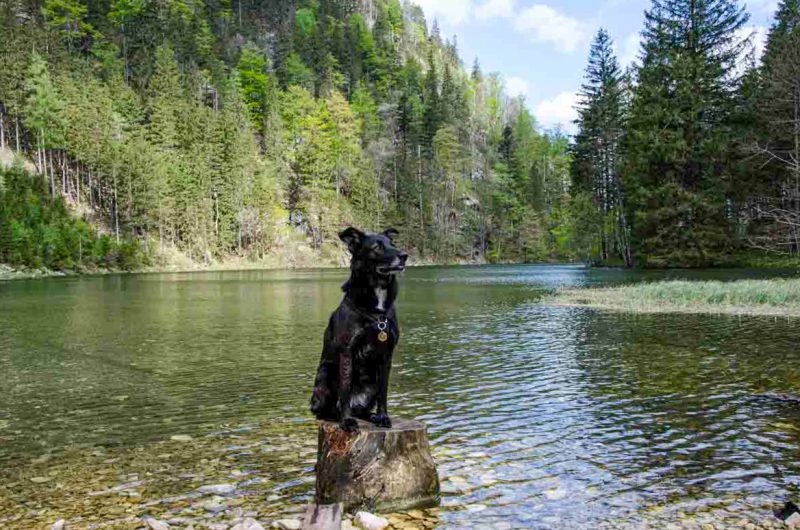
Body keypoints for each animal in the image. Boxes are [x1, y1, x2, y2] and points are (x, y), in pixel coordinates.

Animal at [306, 226, 406, 428]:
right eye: (377, 247)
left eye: (393, 243)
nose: (404, 256)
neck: (376, 313)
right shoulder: (347, 351)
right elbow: (345, 389)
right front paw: (346, 421)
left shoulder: (386, 356)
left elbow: (384, 392)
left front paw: (383, 416)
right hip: (325, 374)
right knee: (324, 411)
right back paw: (337, 416)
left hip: (371, 382)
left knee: (363, 409)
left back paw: (370, 415)